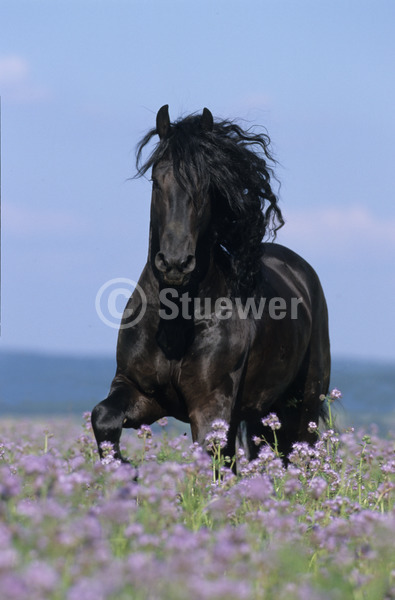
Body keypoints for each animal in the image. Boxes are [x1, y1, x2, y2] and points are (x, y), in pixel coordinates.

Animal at [91, 106, 330, 464]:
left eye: (206, 186)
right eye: (156, 181)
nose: (175, 263)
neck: (175, 322)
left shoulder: (210, 406)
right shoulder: (141, 391)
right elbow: (103, 417)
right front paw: (123, 468)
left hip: (305, 401)